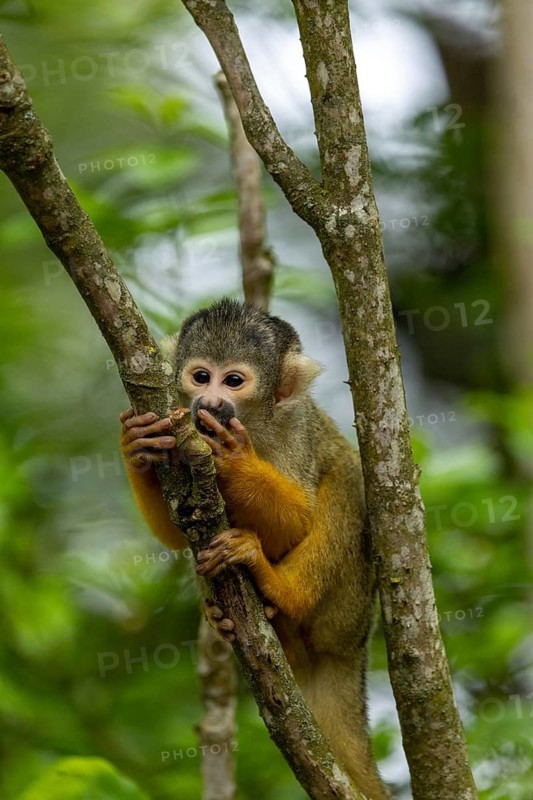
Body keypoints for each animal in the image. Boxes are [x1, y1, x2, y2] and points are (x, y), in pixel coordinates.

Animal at [119, 298, 390, 800]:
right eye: (200, 376)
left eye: (234, 381)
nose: (209, 403)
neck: (256, 423)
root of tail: (353, 647)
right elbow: (180, 524)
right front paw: (137, 446)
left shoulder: (296, 430)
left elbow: (298, 521)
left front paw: (236, 462)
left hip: (348, 606)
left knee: (346, 477)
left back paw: (279, 588)